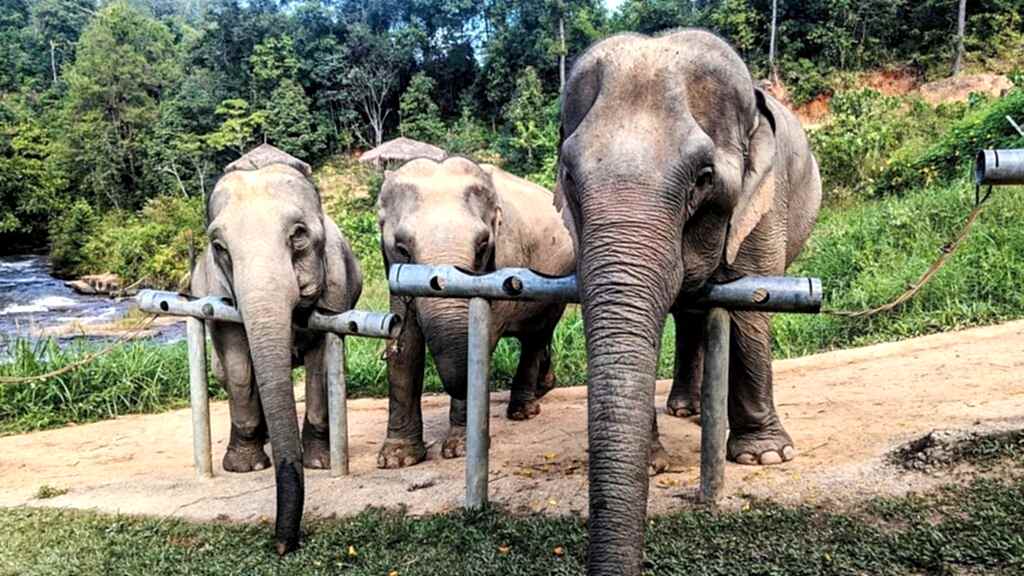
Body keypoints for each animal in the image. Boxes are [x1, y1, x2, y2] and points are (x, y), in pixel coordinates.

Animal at [190, 143, 363, 555]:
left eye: (298, 235)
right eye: (219, 247)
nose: (283, 546)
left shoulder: (336, 283)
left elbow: (320, 364)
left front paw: (319, 462)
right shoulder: (217, 288)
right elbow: (238, 362)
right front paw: (244, 467)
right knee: (225, 372)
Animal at [376, 156, 575, 468]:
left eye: (482, 245)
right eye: (401, 248)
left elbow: (479, 338)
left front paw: (459, 449)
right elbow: (404, 344)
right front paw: (396, 459)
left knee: (536, 335)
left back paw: (523, 411)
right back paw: (543, 387)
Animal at [556, 31, 821, 574]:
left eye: (703, 176)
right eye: (568, 176)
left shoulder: (765, 199)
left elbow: (751, 304)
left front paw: (765, 457)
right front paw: (653, 464)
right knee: (688, 312)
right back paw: (688, 408)